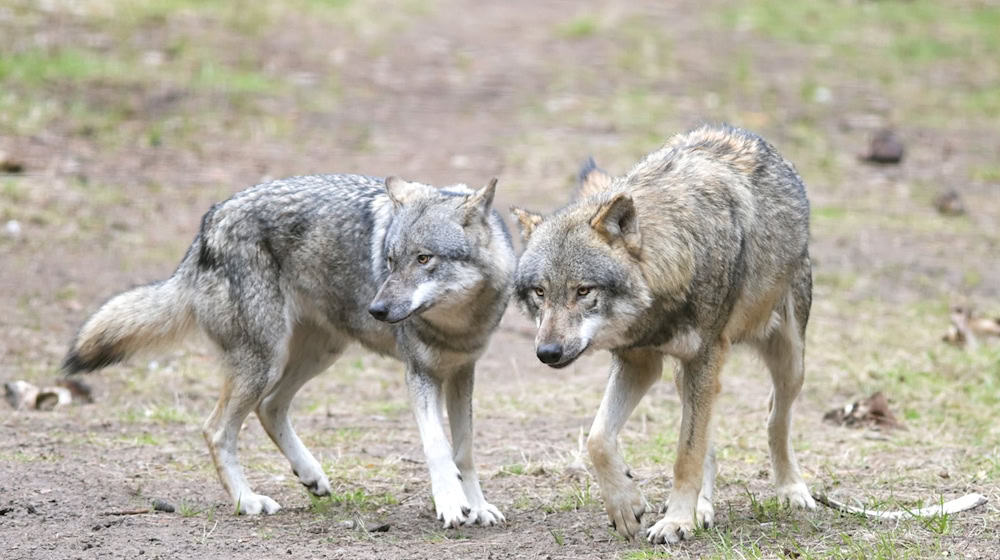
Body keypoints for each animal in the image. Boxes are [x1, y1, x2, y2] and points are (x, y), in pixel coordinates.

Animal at [62, 173, 516, 528]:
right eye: (389, 260)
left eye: (424, 259)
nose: (377, 310)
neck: (458, 323)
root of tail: (208, 224)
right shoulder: (419, 374)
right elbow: (438, 447)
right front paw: (451, 505)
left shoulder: (462, 373)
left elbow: (464, 451)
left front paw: (477, 506)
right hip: (265, 362)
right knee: (216, 428)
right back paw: (247, 501)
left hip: (318, 354)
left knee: (270, 407)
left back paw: (309, 475)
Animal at [512, 126, 816, 544]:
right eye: (540, 292)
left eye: (583, 290)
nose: (548, 352)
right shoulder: (639, 362)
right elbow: (598, 439)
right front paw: (627, 506)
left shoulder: (704, 357)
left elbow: (686, 454)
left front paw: (675, 521)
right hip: (684, 375)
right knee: (710, 441)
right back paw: (702, 508)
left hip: (789, 361)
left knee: (775, 418)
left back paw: (791, 490)